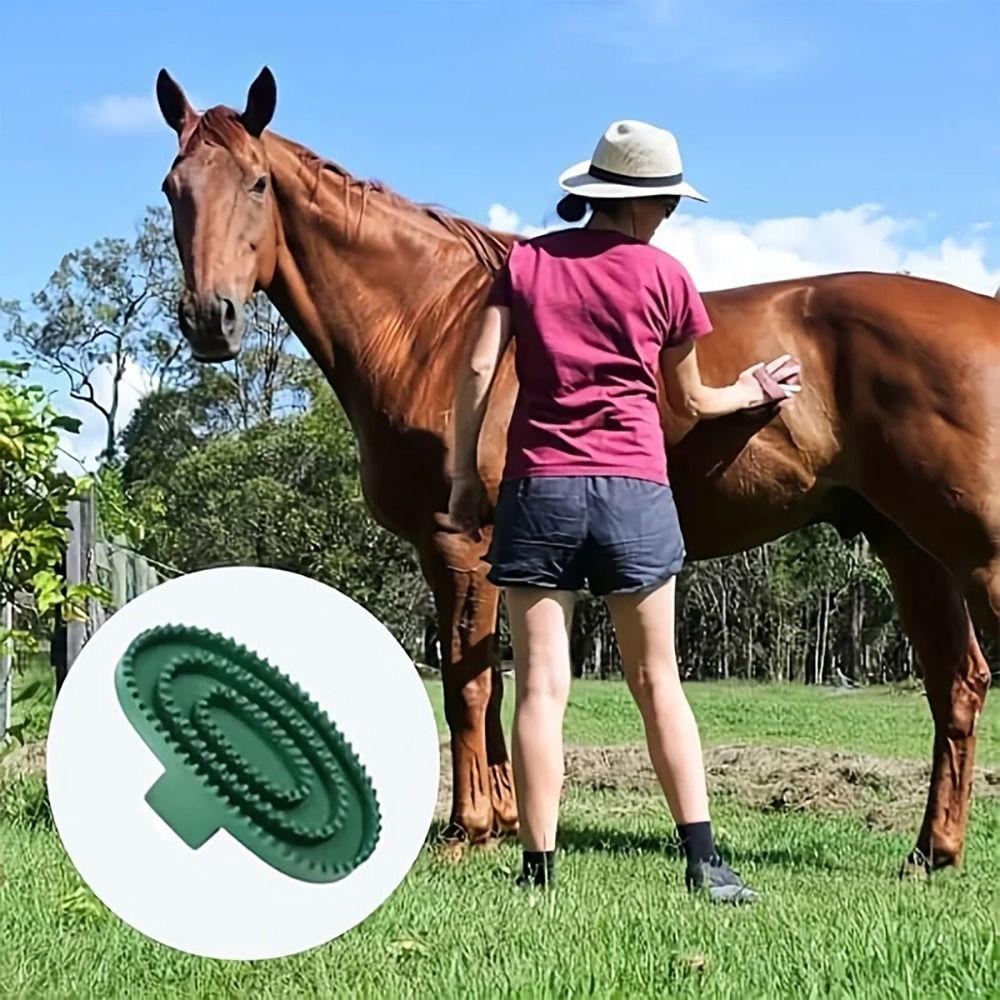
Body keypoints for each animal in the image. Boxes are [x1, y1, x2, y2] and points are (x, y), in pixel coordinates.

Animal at [155, 67, 998, 873]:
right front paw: (501, 821)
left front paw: (466, 831)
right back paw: (929, 853)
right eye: (173, 187)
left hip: (975, 553)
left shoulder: (458, 545)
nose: (209, 320)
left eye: (257, 183)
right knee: (956, 684)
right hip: (909, 548)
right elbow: (494, 681)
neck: (431, 325)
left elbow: (466, 686)